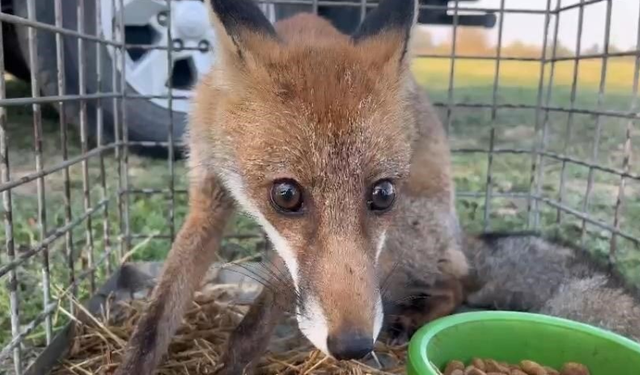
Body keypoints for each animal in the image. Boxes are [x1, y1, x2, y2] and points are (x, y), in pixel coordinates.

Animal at [114, 0, 640, 374]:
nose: (352, 345)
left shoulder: (299, 261)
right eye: (286, 195)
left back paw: (415, 318)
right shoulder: (208, 200)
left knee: (458, 281)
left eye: (382, 193)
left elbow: (250, 330)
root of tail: (459, 235)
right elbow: (154, 322)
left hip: (402, 241)